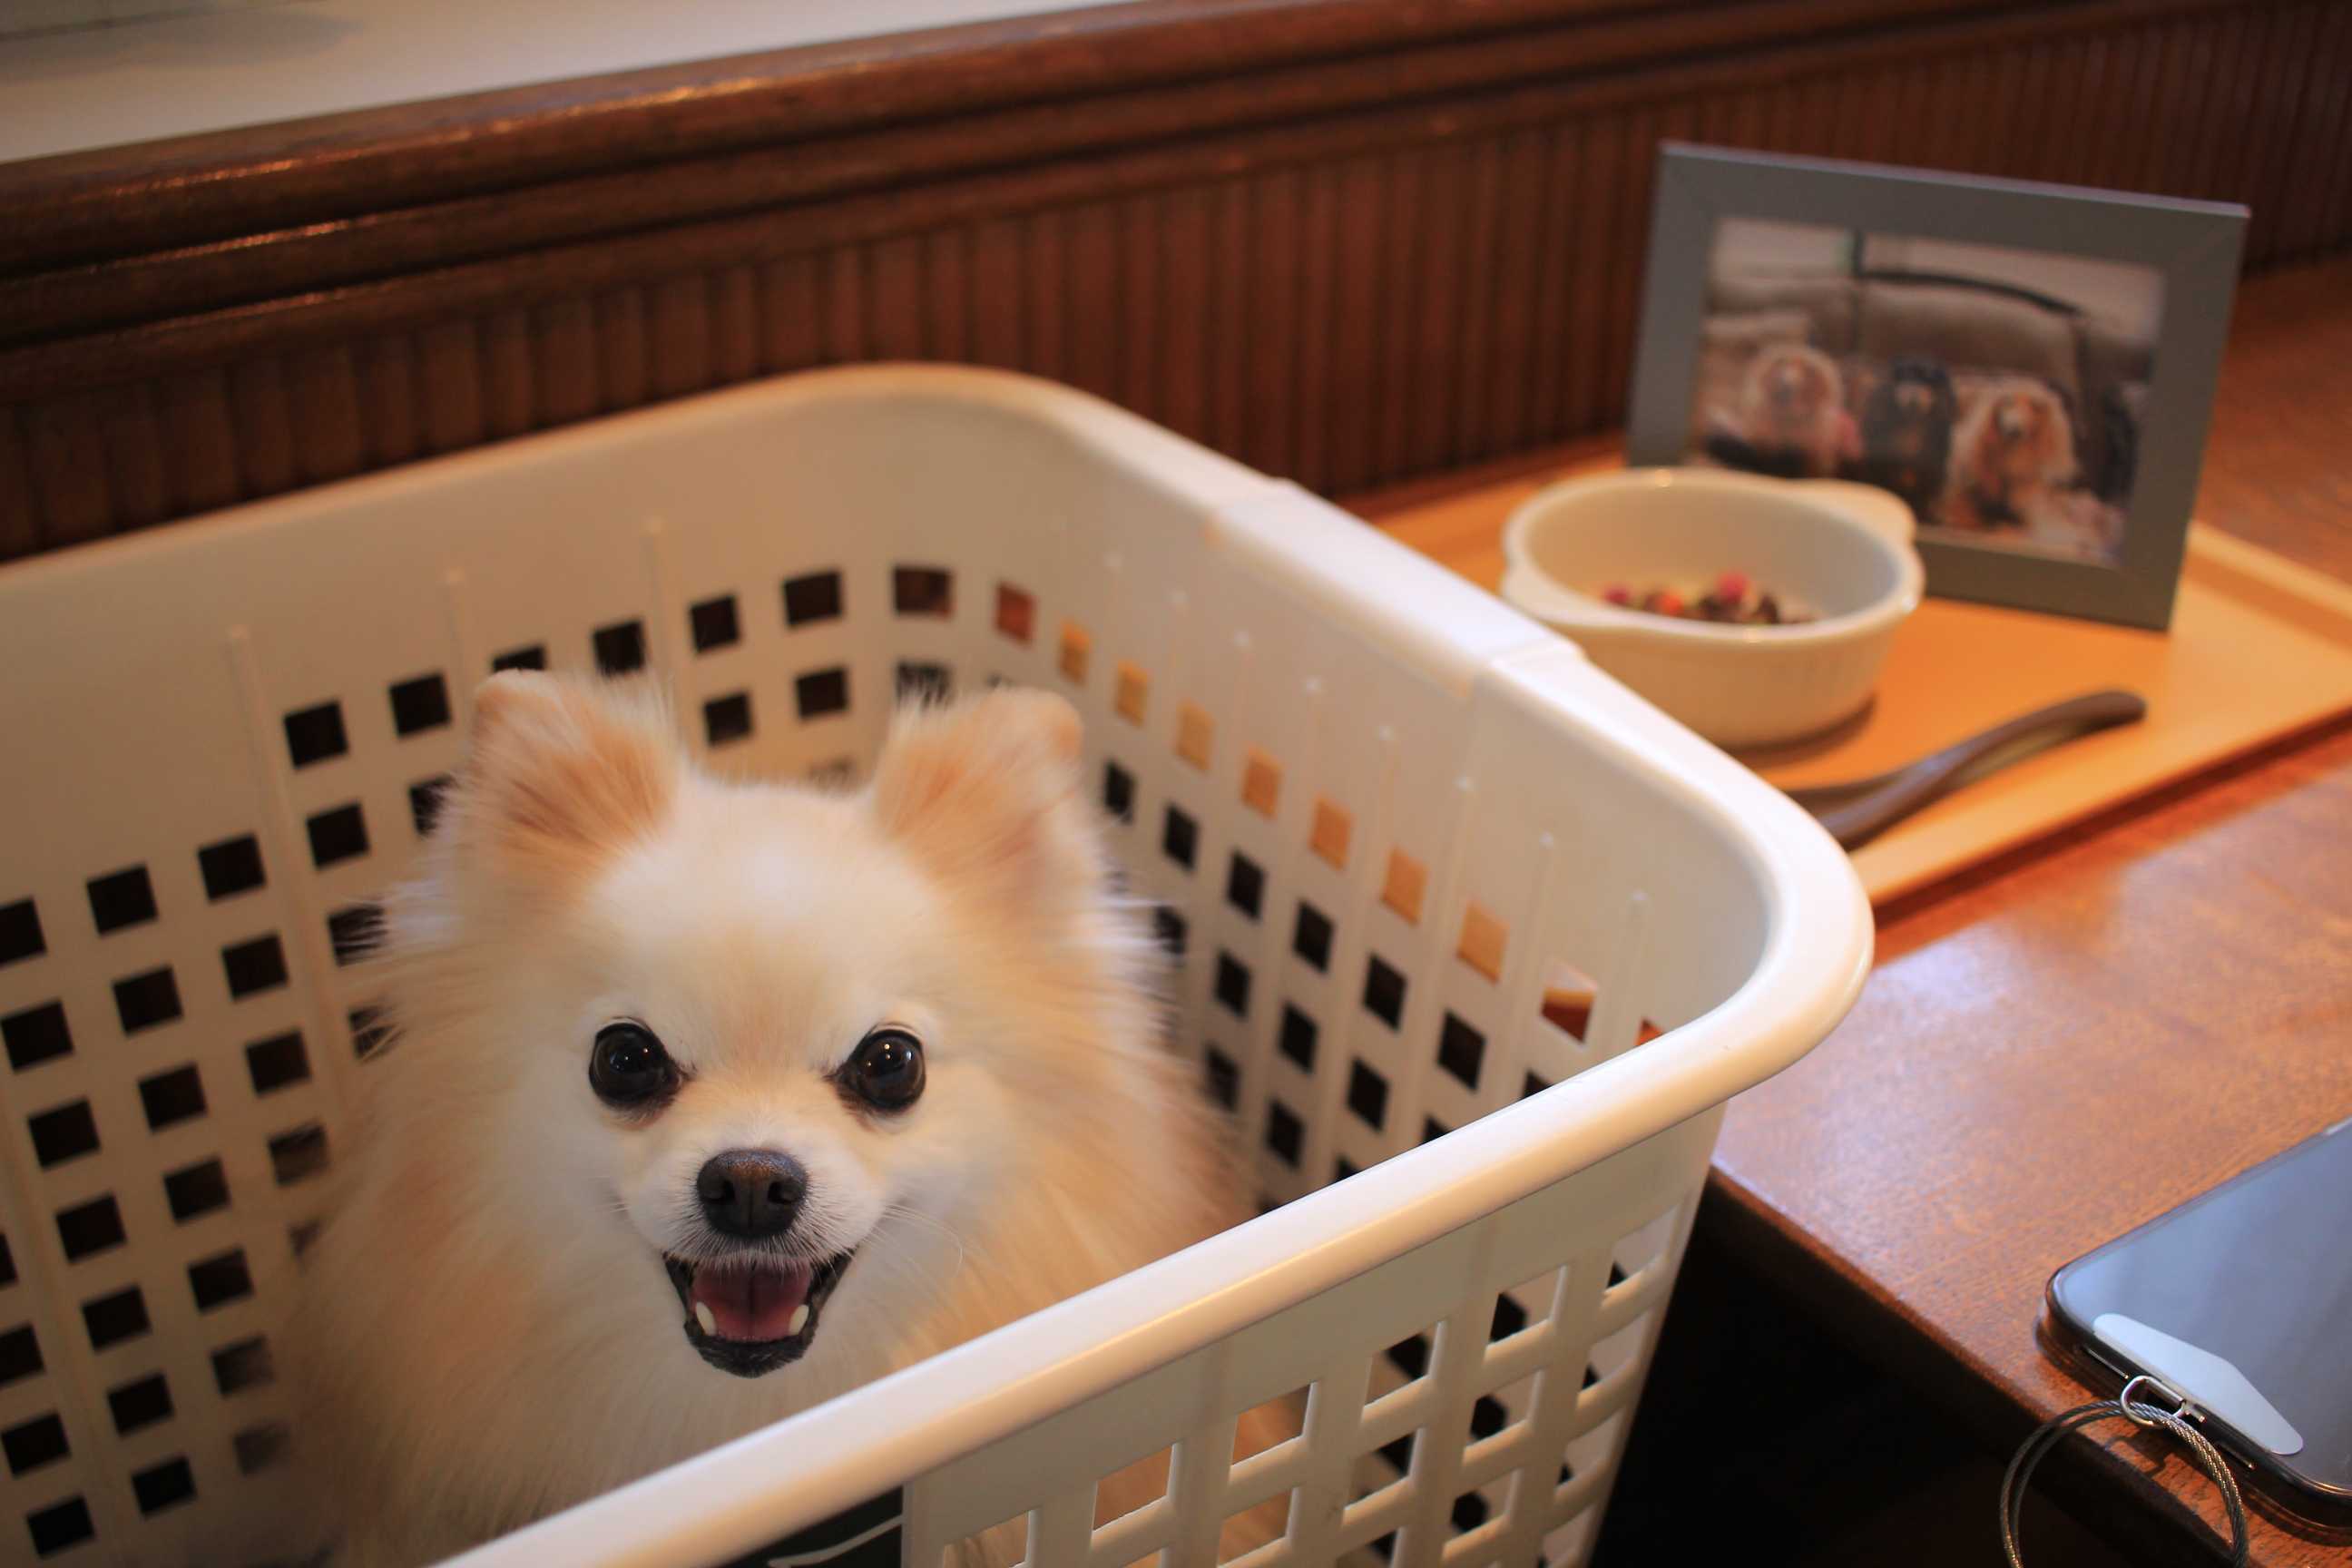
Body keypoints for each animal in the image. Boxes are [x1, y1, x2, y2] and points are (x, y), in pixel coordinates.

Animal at [1849, 356, 1957, 520]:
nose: (1914, 391)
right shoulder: (1879, 411)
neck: (1911, 419)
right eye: (1907, 375)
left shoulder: (1940, 429)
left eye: (1928, 378)